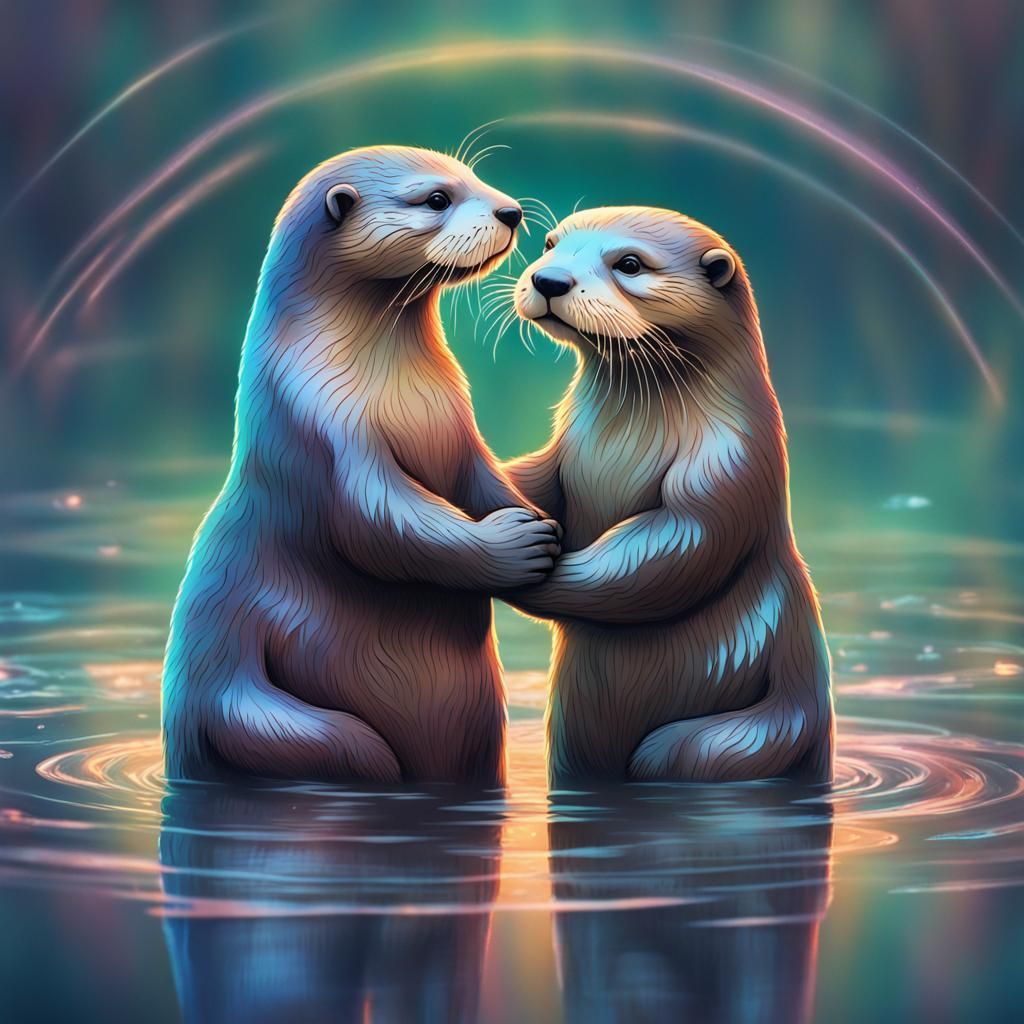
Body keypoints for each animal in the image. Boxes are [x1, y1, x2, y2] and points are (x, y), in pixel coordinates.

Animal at [162, 146, 560, 786]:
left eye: (473, 176)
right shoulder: (324, 427)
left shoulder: (458, 426)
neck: (398, 393)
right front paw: (517, 544)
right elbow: (380, 521)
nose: (510, 210)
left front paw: (539, 519)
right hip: (247, 704)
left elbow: (481, 480)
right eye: (437, 198)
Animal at [503, 206, 833, 785]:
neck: (621, 442)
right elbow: (532, 480)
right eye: (549, 244)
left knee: (683, 751)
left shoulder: (730, 464)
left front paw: (531, 565)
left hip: (766, 727)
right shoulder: (563, 455)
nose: (549, 280)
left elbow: (672, 552)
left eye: (630, 264)